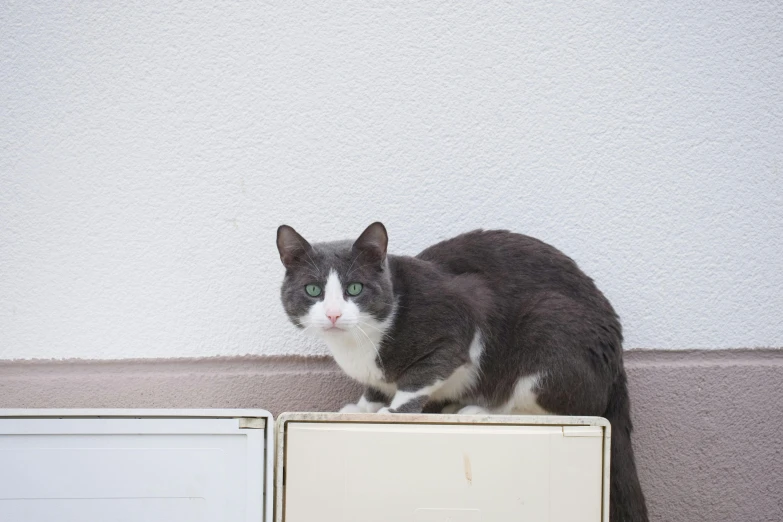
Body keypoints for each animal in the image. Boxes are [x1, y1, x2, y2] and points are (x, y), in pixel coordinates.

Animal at [276, 220, 648, 520]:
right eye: (313, 290)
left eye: (355, 288)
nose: (333, 315)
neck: (358, 345)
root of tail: (618, 363)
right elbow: (377, 385)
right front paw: (364, 407)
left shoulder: (461, 315)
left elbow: (419, 377)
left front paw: (393, 410)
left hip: (548, 322)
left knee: (556, 405)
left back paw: (480, 409)